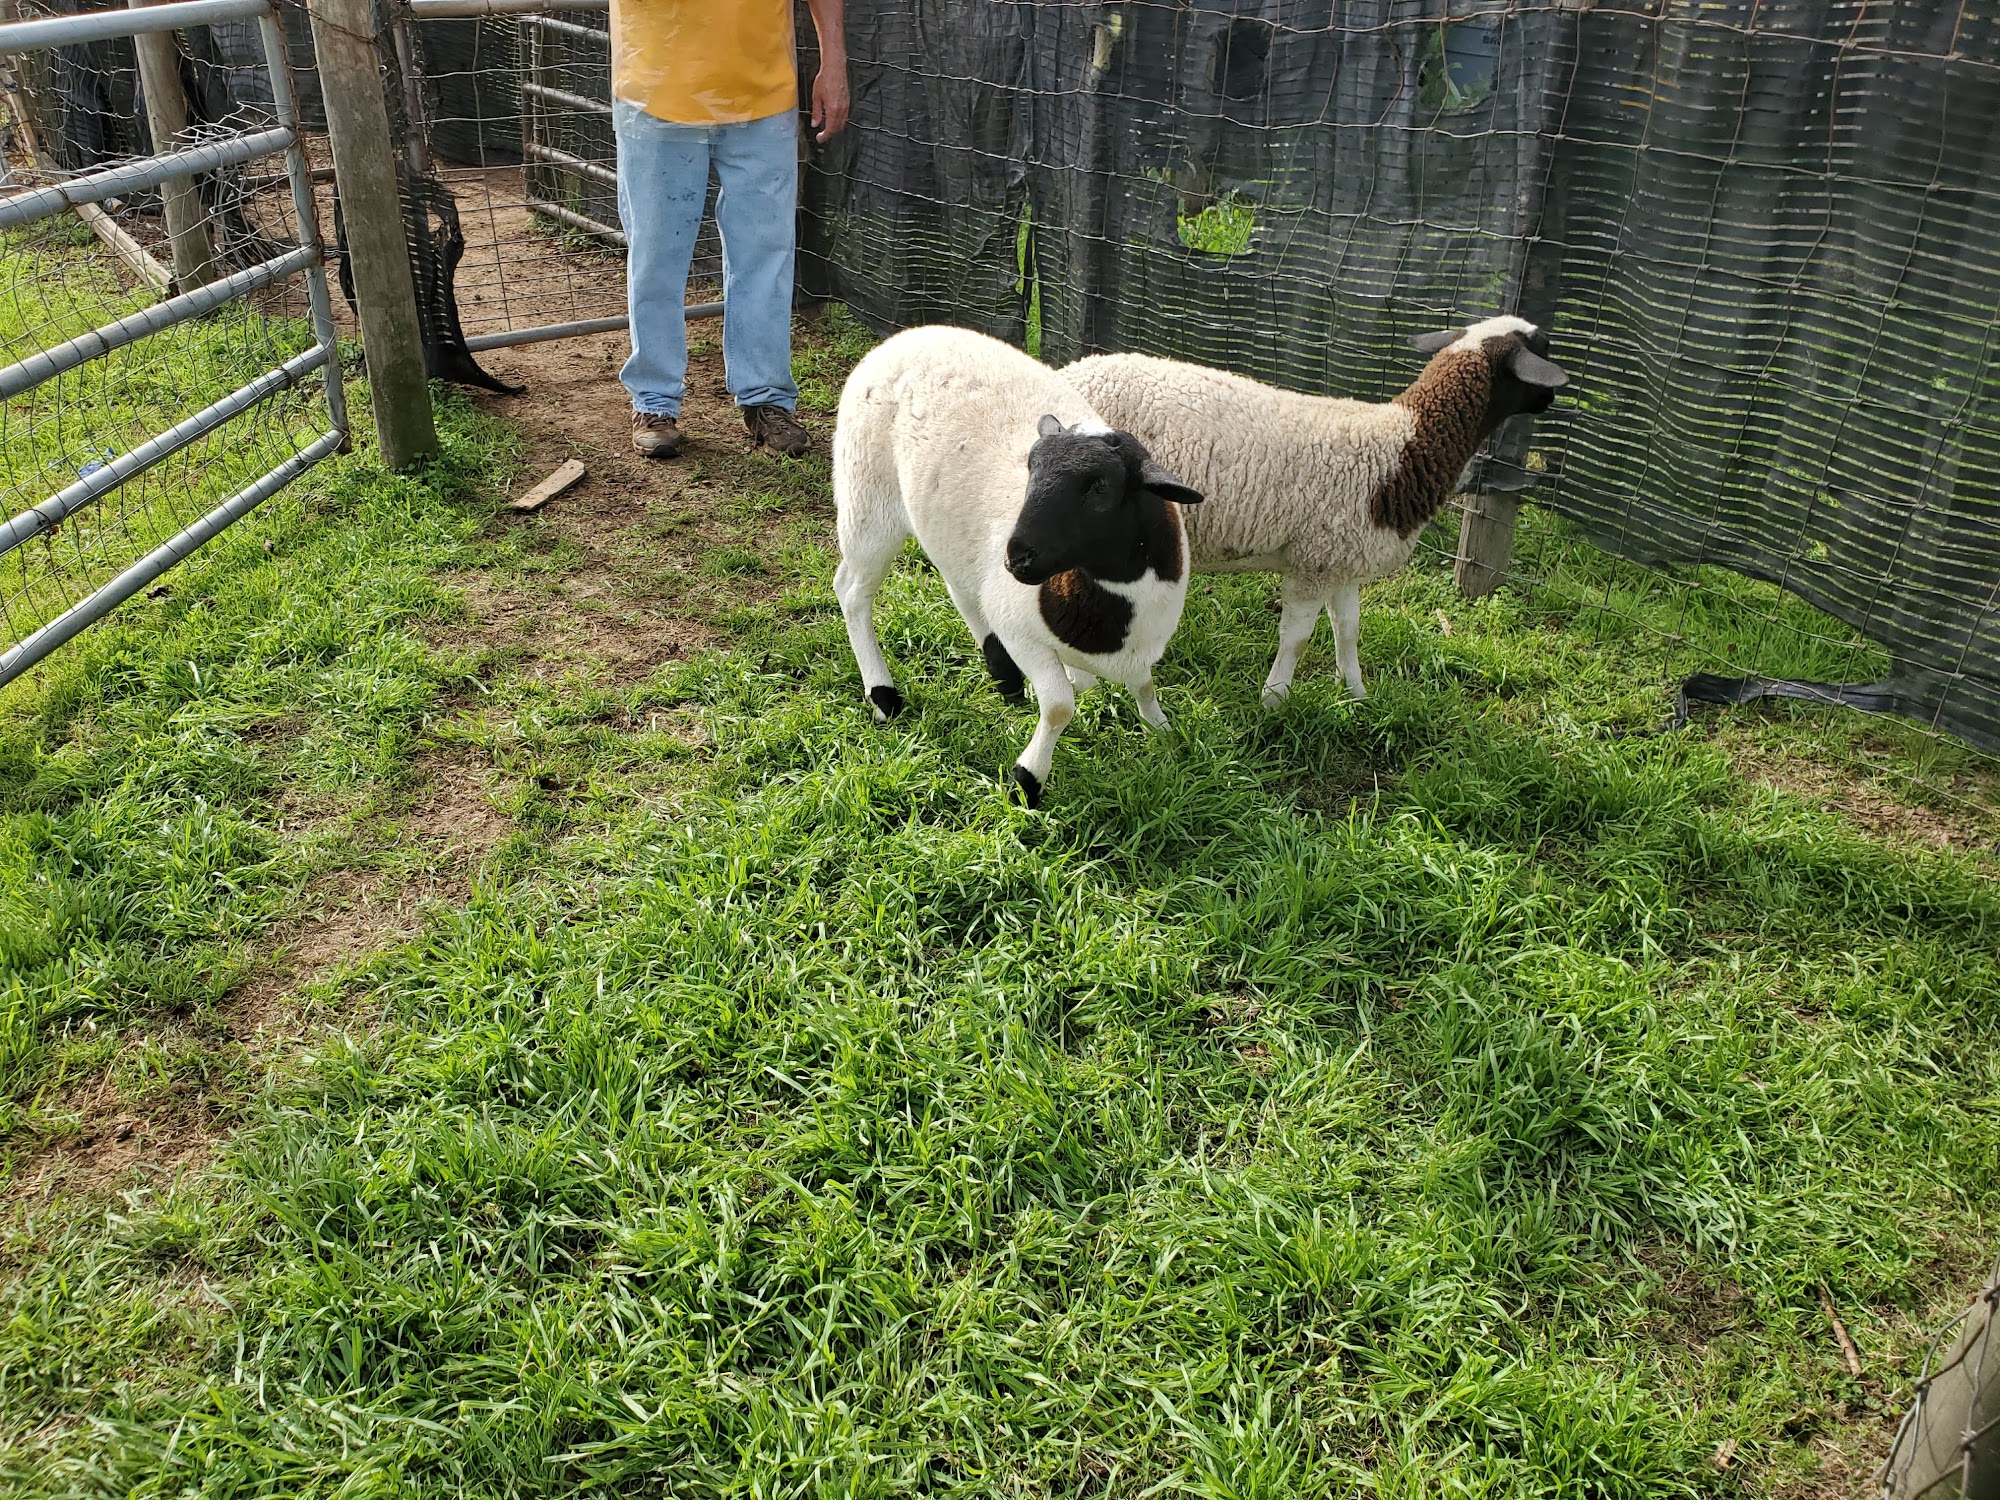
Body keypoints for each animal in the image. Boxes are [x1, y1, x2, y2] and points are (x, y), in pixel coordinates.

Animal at [832, 324, 1205, 808]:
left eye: (1100, 487)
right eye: (1030, 467)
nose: (1017, 556)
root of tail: (909, 334)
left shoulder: (1135, 647)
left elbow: (1138, 684)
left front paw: (1162, 731)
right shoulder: (1022, 630)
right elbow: (1061, 704)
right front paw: (1027, 779)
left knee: (959, 586)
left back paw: (1003, 673)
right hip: (868, 498)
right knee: (852, 590)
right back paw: (883, 694)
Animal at [1062, 314, 1568, 706]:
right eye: (1542, 348)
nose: (1556, 399)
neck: (1401, 448)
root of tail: (1070, 371)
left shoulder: (1344, 559)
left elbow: (1348, 629)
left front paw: (1357, 694)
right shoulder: (1315, 561)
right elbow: (1298, 638)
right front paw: (1275, 699)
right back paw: (1077, 682)